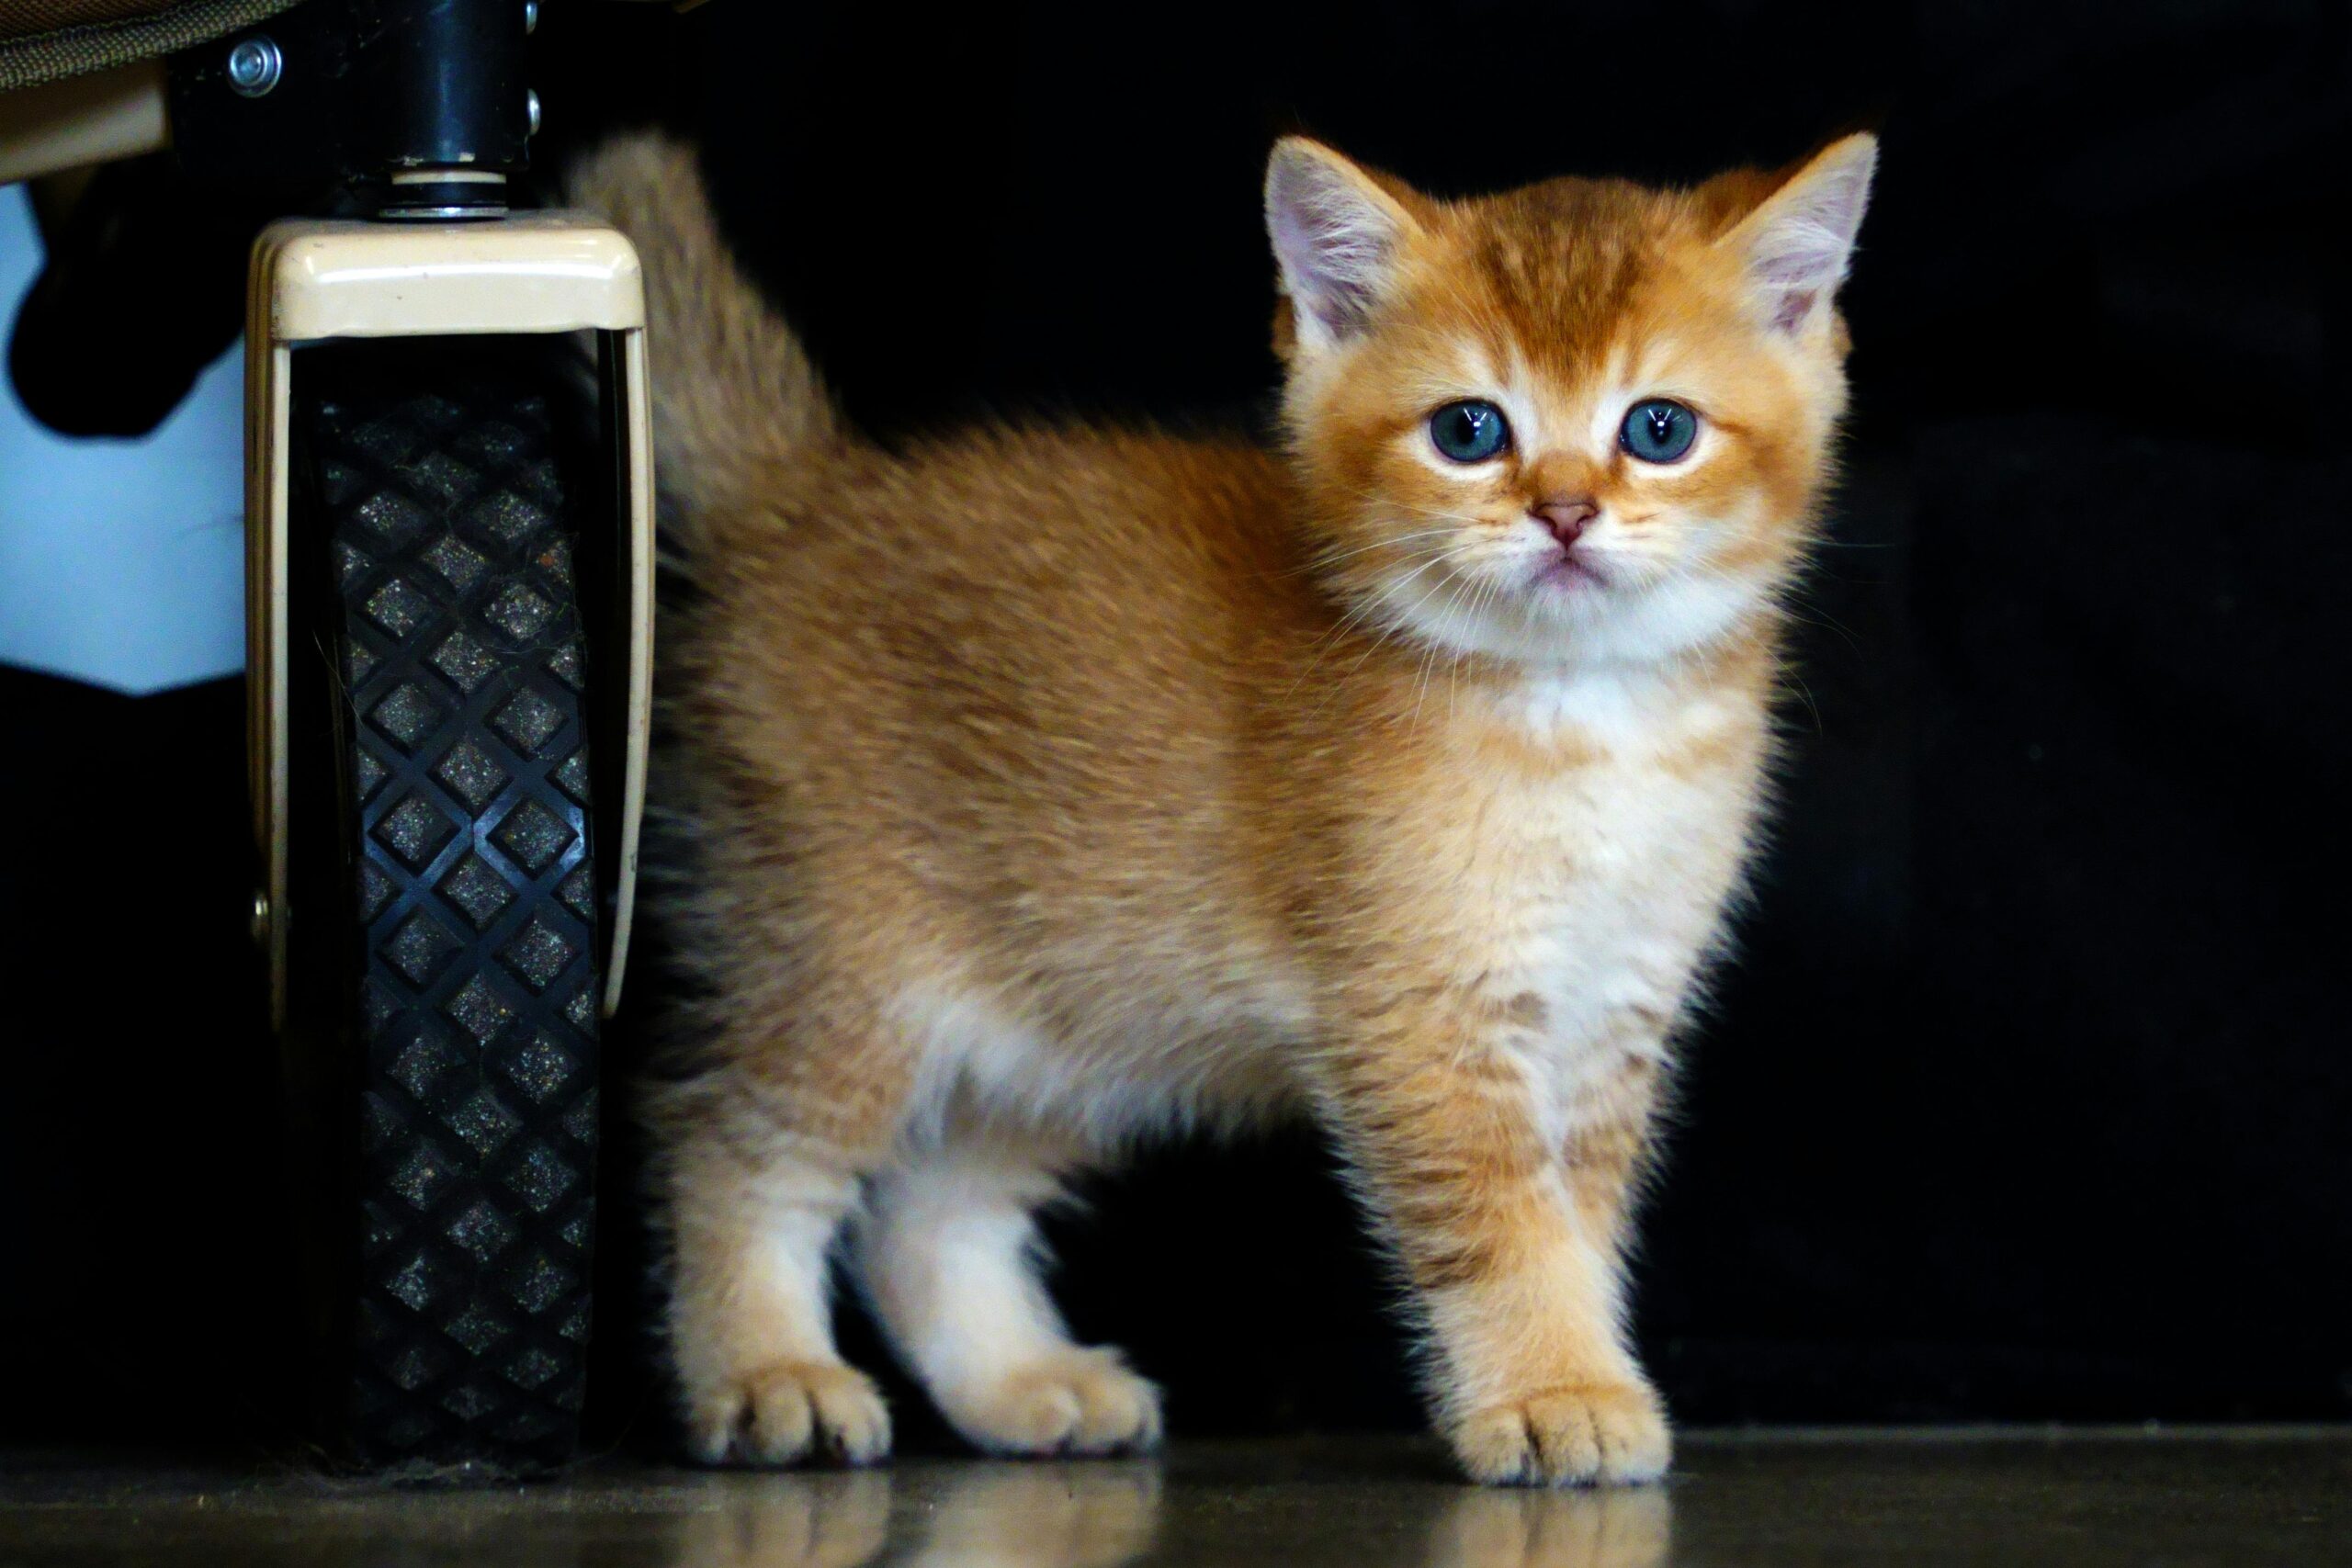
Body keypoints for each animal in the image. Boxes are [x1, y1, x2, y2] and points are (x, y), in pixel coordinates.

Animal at [569, 125, 1871, 1485]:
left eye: (1659, 427)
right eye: (1469, 429)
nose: (1564, 511)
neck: (1583, 720)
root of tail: (801, 504)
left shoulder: (1612, 1011)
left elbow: (1583, 1225)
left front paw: (1578, 1365)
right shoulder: (1424, 1016)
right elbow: (1504, 1226)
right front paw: (1549, 1391)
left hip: (1071, 1010)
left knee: (927, 1210)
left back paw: (1017, 1381)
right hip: (840, 971)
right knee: (726, 1147)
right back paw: (765, 1371)